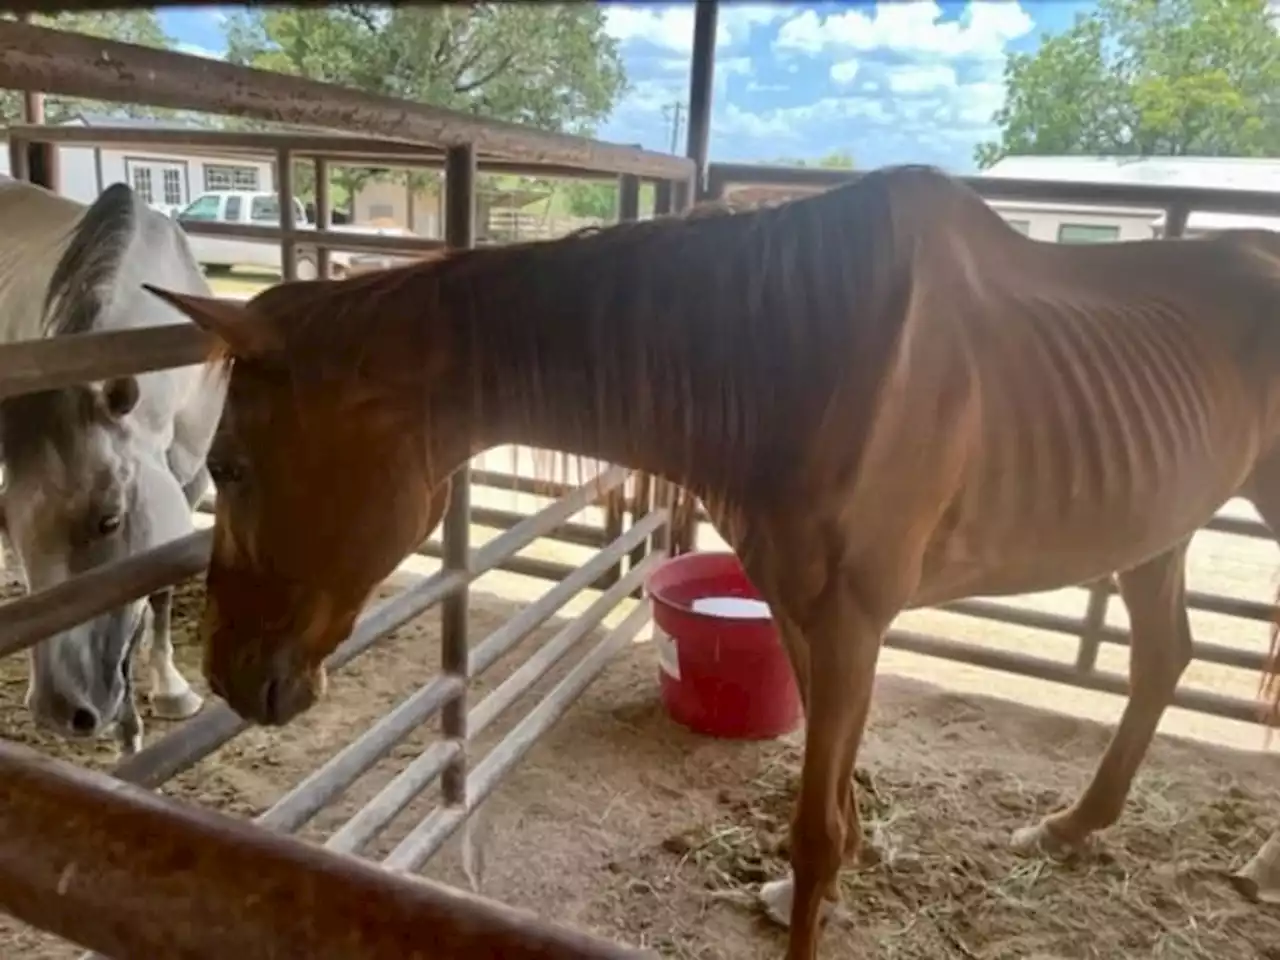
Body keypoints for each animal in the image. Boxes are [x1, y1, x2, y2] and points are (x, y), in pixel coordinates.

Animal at [0, 180, 225, 752]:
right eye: (6, 522)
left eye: (111, 519)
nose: (60, 711)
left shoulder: (191, 478)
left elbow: (157, 586)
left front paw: (170, 691)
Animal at [142, 168, 1280, 957]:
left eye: (230, 464)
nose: (229, 674)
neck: (805, 352)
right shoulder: (803, 609)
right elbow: (834, 794)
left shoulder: (853, 619)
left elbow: (813, 826)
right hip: (1157, 529)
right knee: (1162, 658)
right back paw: (1074, 826)